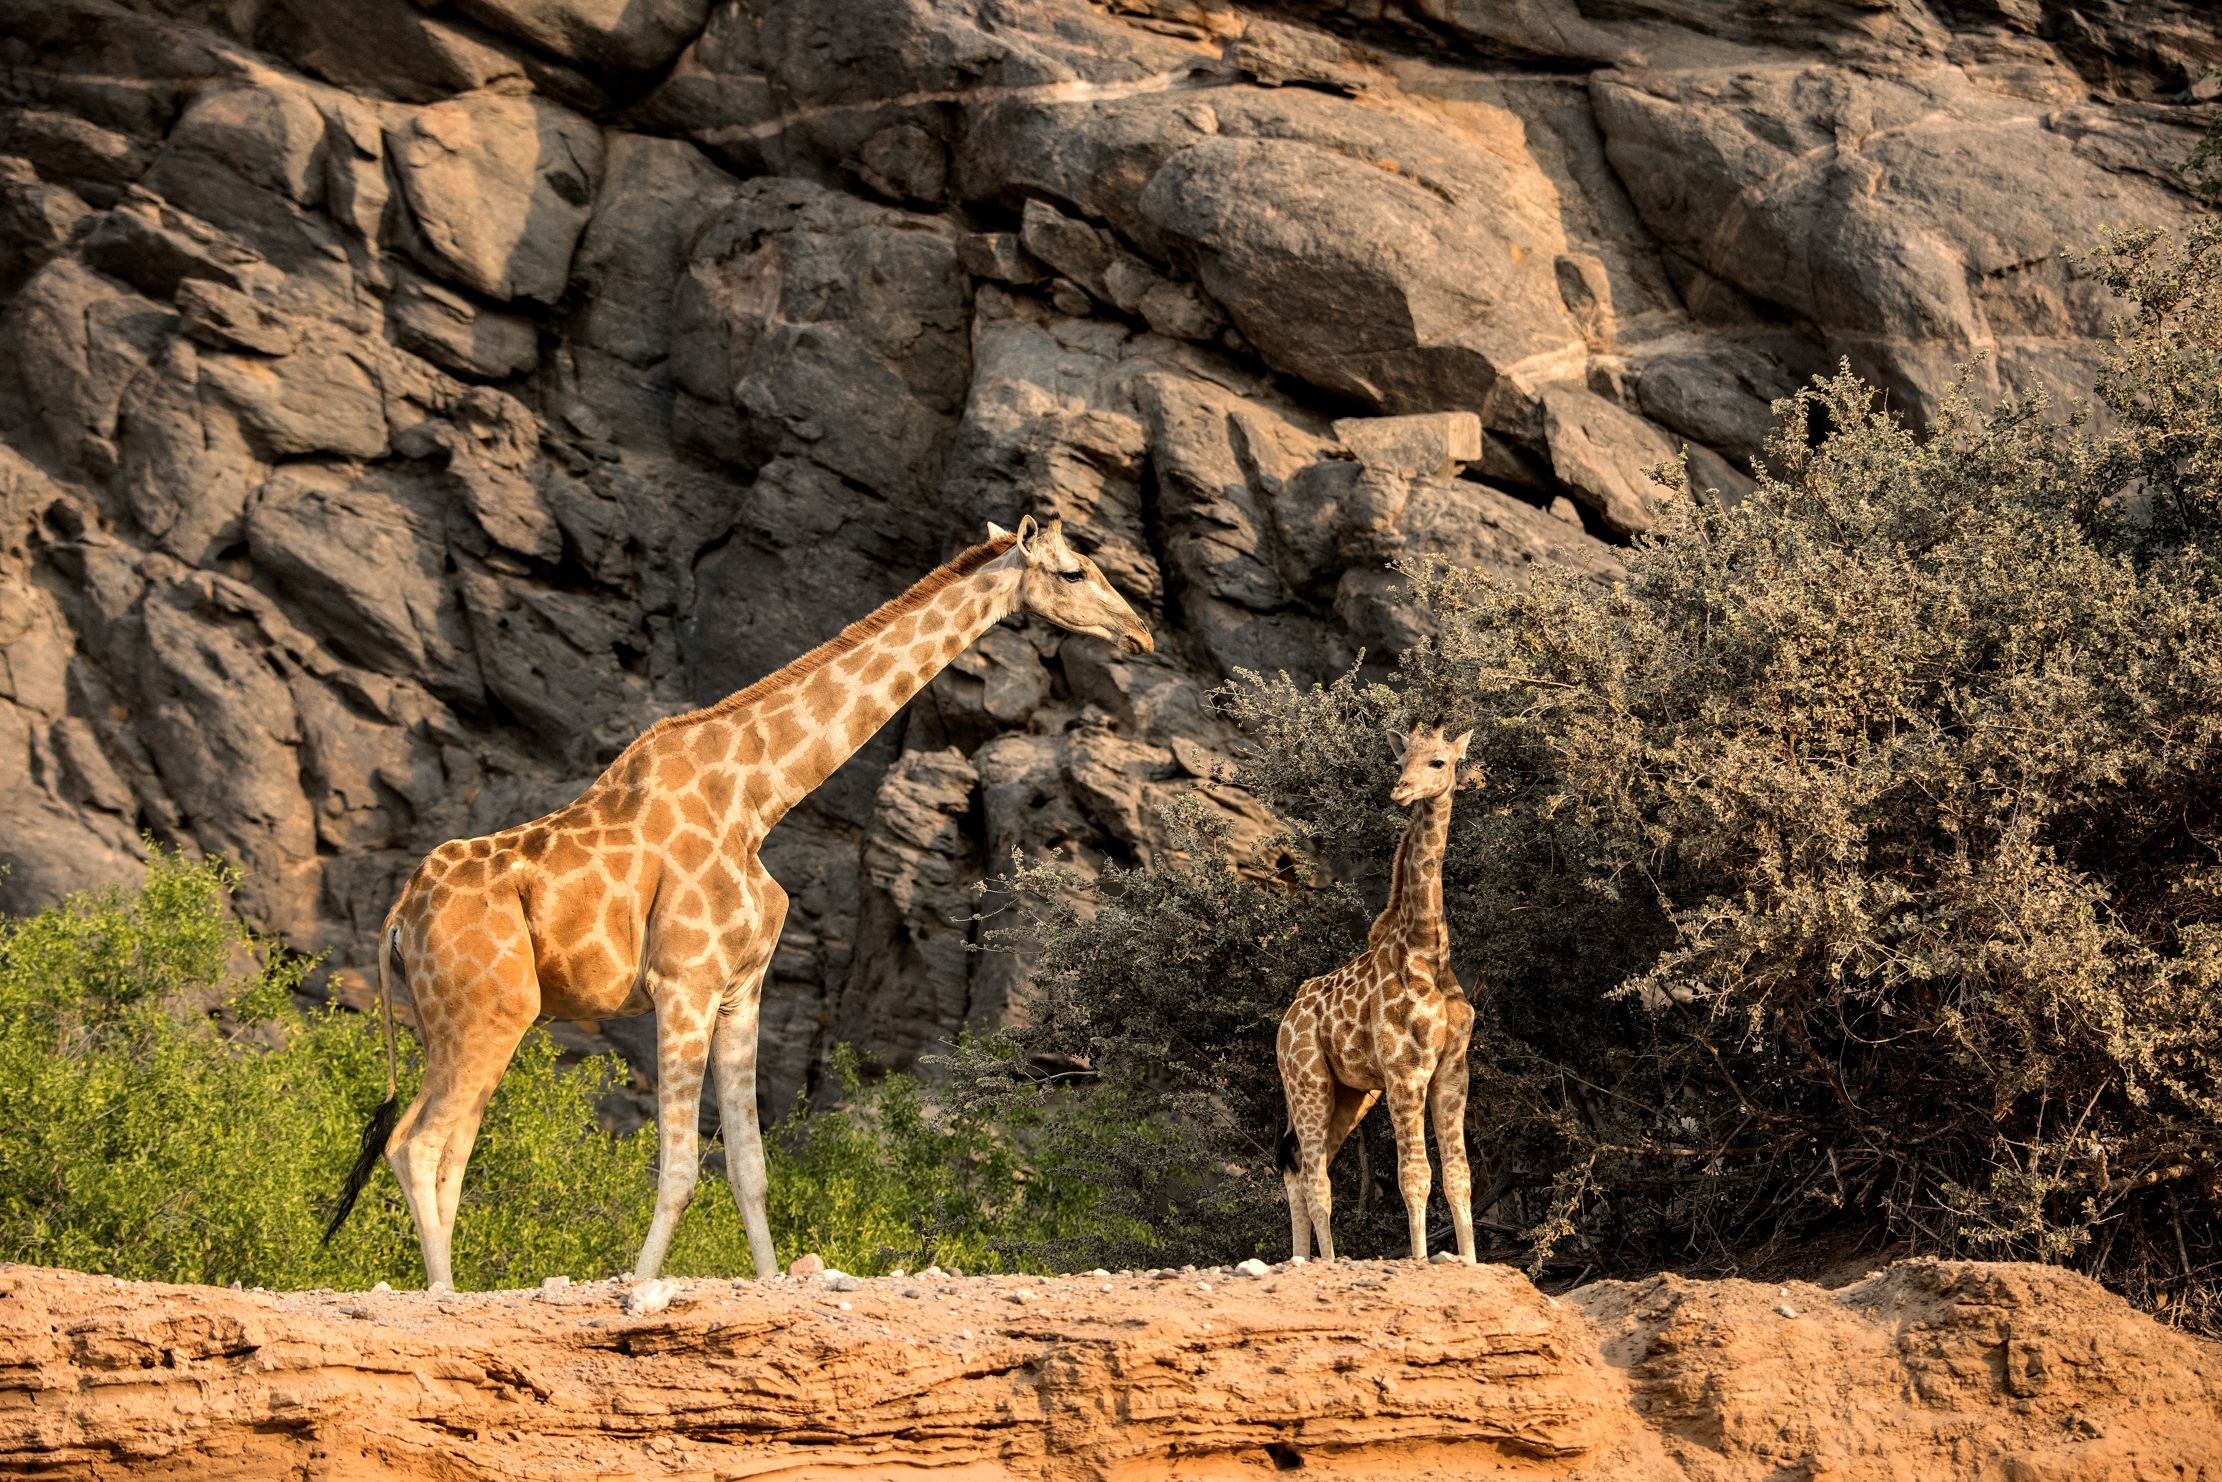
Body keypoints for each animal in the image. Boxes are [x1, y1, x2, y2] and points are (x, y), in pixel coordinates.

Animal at [324, 516, 1152, 1290]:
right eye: (1075, 571)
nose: (1140, 633)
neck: (761, 798)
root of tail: (397, 919)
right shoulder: (684, 984)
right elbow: (681, 1171)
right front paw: (640, 1291)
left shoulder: (740, 990)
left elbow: (750, 1168)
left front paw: (771, 1281)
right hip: (488, 1011)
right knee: (419, 1144)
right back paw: (441, 1293)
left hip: (457, 1019)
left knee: (441, 1149)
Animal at [1275, 724, 1478, 1264]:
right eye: (1401, 761)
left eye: (1439, 761)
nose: (1401, 790)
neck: (1426, 948)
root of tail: (1288, 1017)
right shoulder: (1406, 1072)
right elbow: (1415, 1176)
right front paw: (1422, 1261)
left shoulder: (1452, 1071)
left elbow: (1458, 1177)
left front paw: (1473, 1263)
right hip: (1307, 1081)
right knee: (1315, 1177)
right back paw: (1323, 1262)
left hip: (1351, 1094)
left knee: (1299, 1167)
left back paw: (1301, 1259)